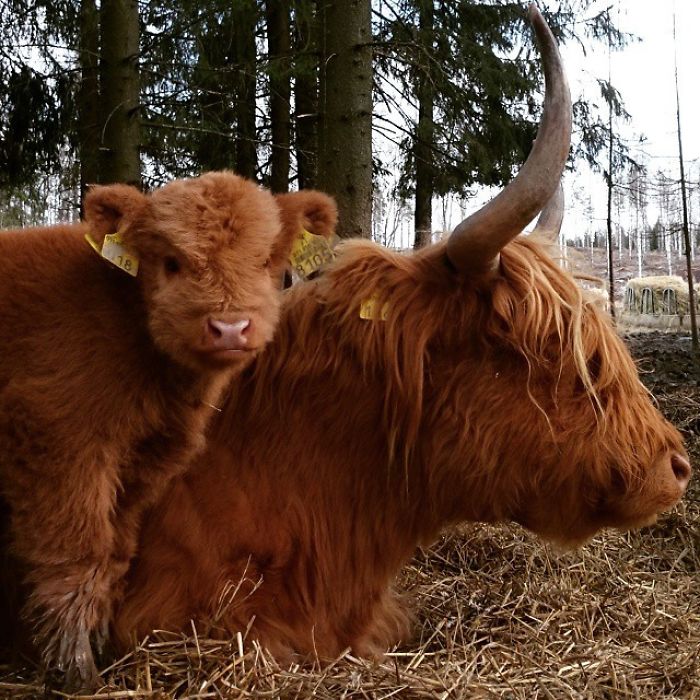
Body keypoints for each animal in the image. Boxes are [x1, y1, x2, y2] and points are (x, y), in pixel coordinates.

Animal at [0, 171, 337, 688]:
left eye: (266, 261)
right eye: (172, 262)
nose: (230, 327)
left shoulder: (144, 460)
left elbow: (115, 554)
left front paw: (103, 649)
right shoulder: (57, 438)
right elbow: (77, 554)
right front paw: (78, 672)